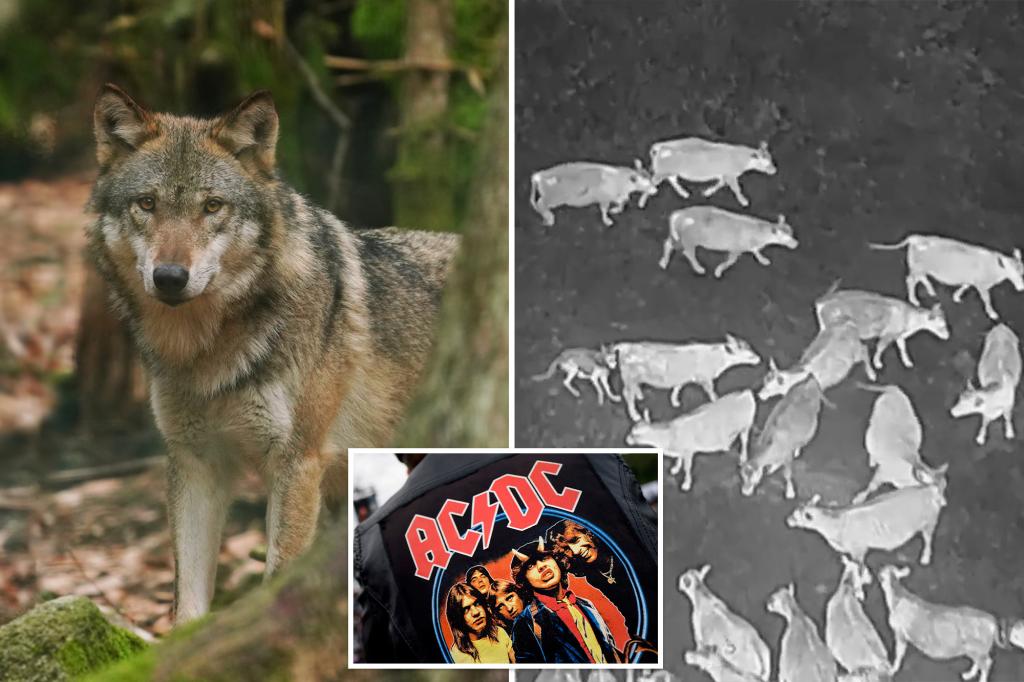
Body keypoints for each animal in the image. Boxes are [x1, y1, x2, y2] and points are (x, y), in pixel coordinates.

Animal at [87, 84, 460, 623]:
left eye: (212, 206)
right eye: (146, 203)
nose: (170, 277)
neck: (207, 354)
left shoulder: (296, 464)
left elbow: (278, 578)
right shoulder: (195, 463)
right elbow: (187, 603)